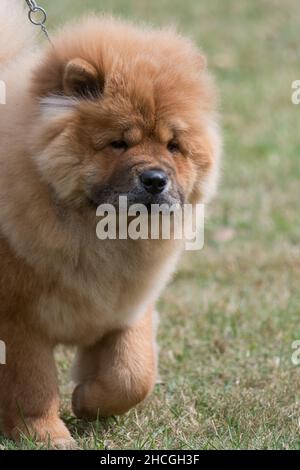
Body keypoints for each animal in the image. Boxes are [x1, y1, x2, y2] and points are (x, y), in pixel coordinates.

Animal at [0, 0, 220, 448]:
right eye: (119, 143)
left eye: (174, 146)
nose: (155, 179)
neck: (101, 237)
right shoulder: (20, 317)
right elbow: (32, 383)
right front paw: (46, 434)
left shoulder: (129, 303)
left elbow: (133, 374)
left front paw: (87, 402)